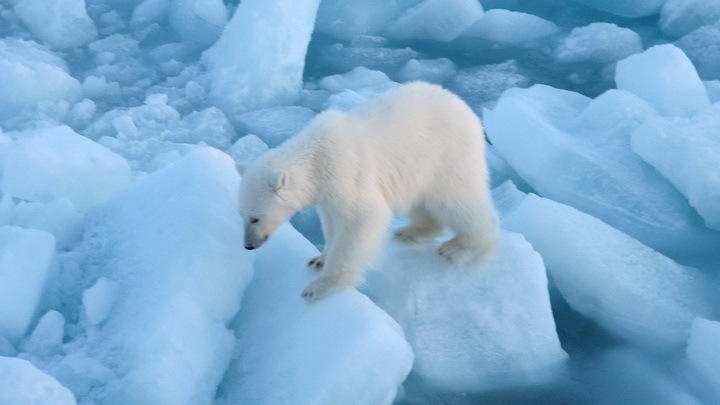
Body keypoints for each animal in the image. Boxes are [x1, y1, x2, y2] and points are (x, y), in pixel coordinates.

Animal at [239, 82, 498, 302]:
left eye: (255, 218)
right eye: (241, 215)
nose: (248, 246)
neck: (316, 155)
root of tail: (465, 107)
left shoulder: (346, 172)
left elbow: (362, 218)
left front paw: (321, 286)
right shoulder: (327, 193)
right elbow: (332, 223)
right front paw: (320, 259)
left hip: (447, 155)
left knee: (456, 200)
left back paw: (463, 247)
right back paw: (410, 232)